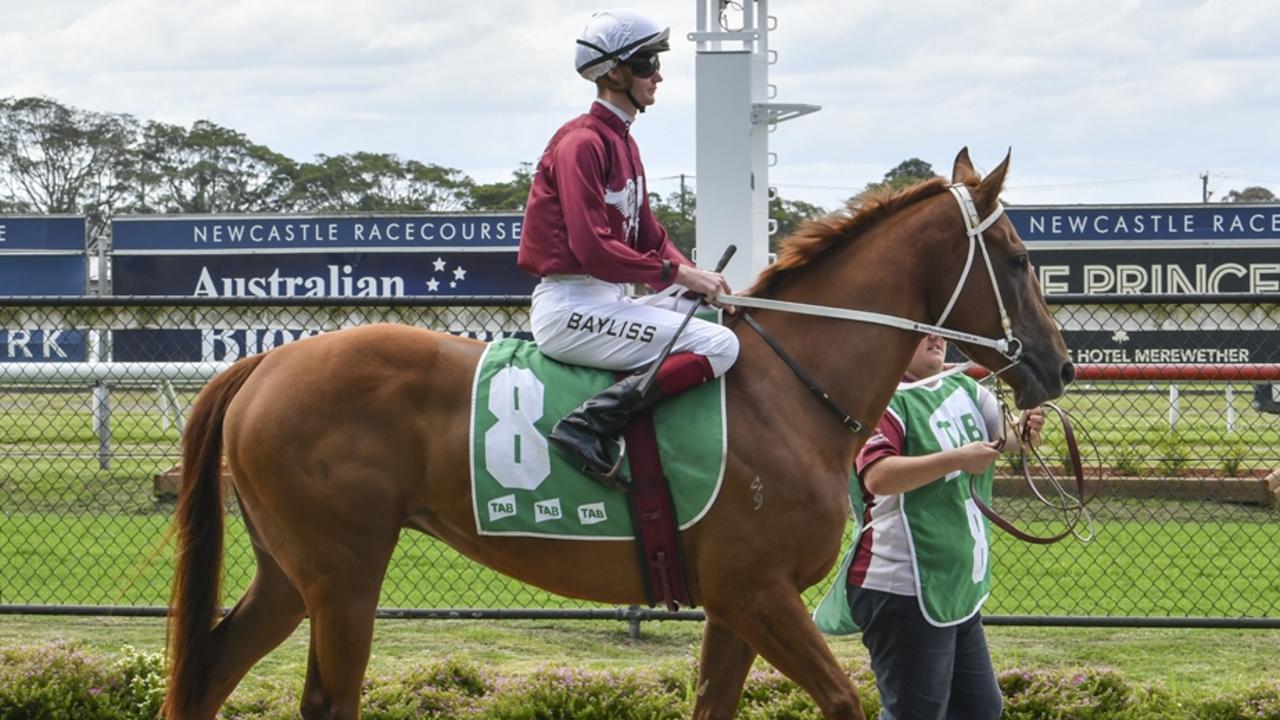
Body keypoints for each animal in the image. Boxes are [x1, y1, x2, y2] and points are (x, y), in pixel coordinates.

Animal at [165, 148, 1075, 712]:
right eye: (1020, 259)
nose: (1060, 365)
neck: (790, 389)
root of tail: (264, 363)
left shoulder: (736, 605)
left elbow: (713, 704)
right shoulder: (756, 592)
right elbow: (845, 698)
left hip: (291, 574)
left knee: (209, 675)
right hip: (344, 576)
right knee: (326, 696)